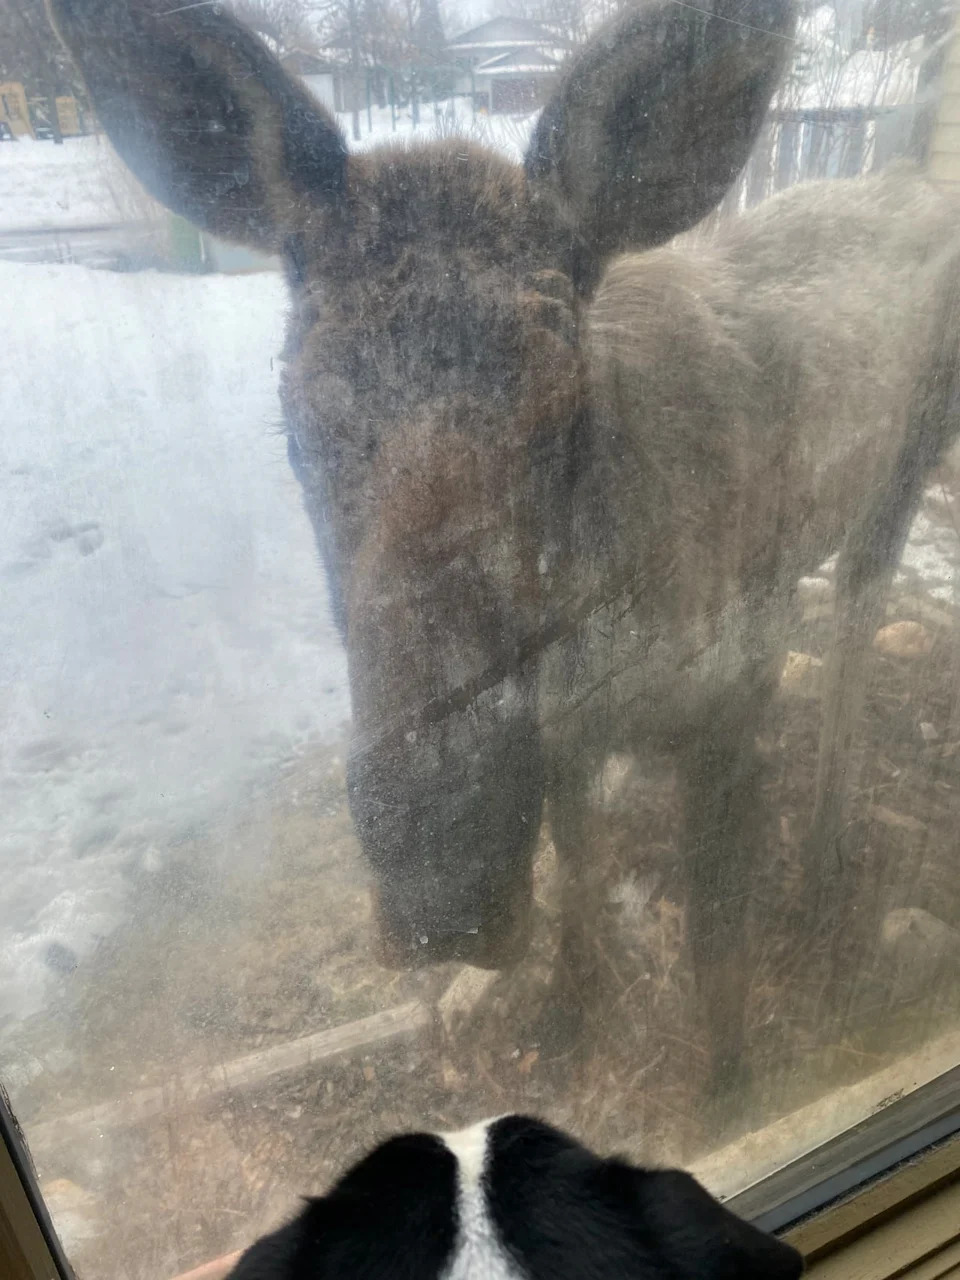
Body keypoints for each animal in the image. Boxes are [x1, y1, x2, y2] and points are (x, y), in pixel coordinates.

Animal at [48, 0, 960, 1102]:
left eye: (565, 403)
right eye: (299, 416)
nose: (443, 879)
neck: (600, 625)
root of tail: (908, 174)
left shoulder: (728, 698)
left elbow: (717, 949)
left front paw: (728, 1086)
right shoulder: (565, 733)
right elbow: (576, 865)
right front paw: (570, 1006)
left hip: (911, 454)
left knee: (864, 610)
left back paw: (828, 847)